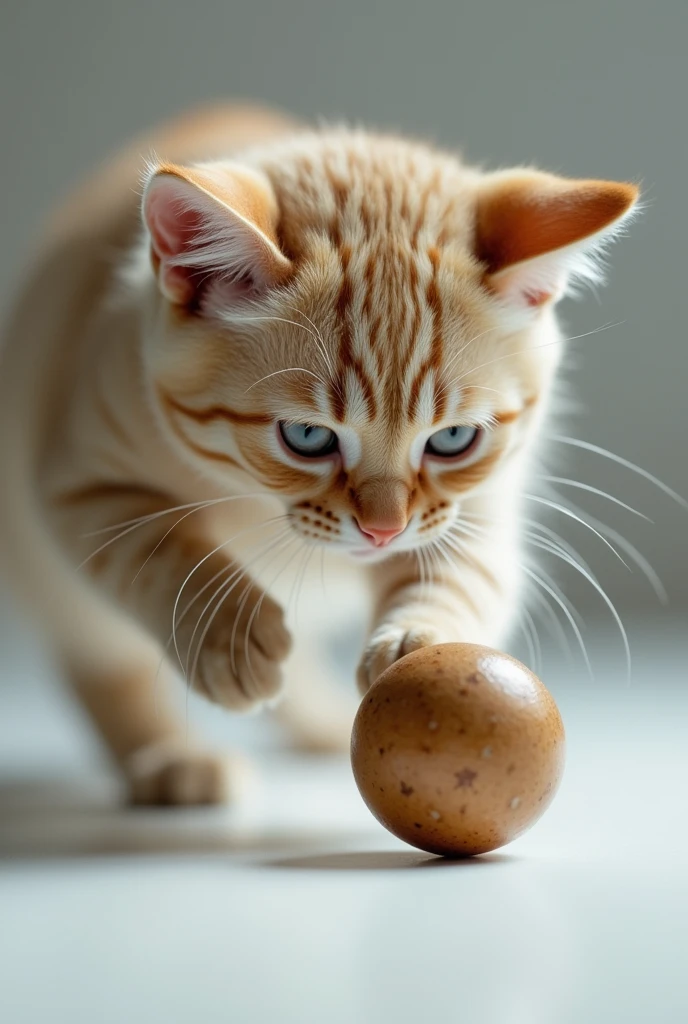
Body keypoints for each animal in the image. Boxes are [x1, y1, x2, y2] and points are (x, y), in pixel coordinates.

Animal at [0, 105, 638, 806]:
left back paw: (319, 721)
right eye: (307, 438)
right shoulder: (79, 485)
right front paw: (229, 636)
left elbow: (462, 577)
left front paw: (418, 642)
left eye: (451, 440)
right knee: (109, 668)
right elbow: (162, 553)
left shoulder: (477, 513)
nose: (383, 531)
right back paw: (175, 759)